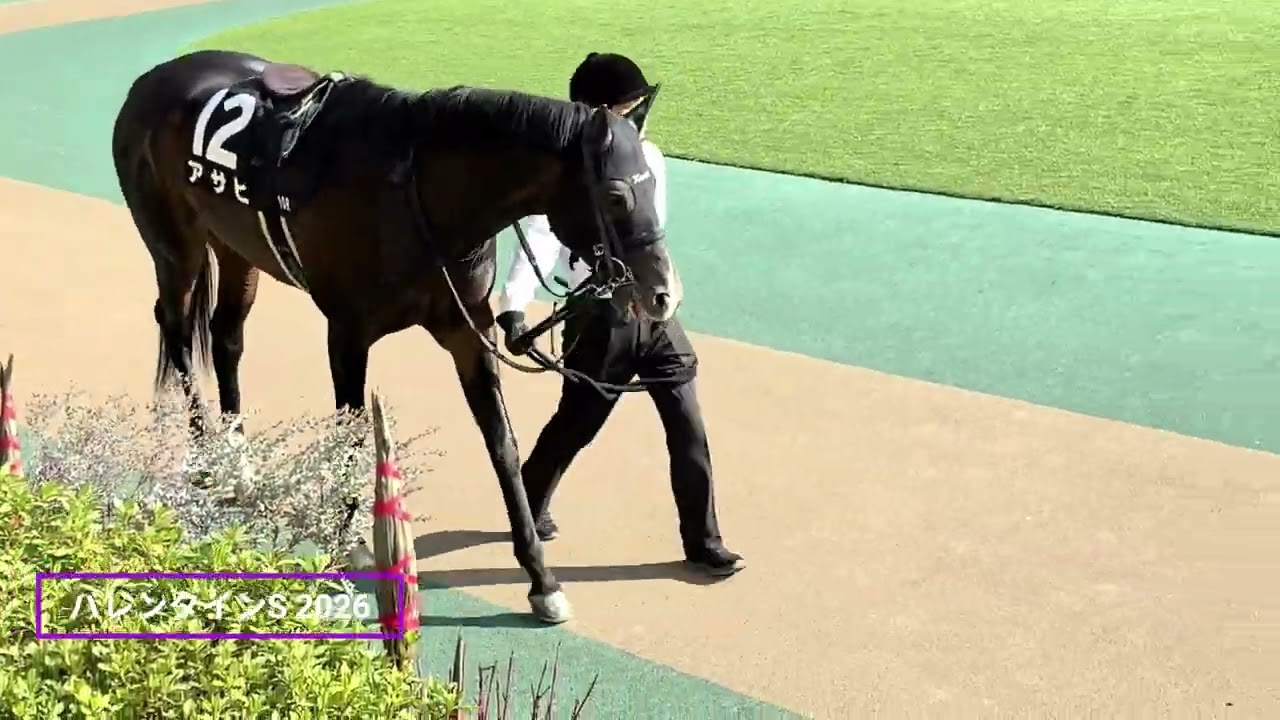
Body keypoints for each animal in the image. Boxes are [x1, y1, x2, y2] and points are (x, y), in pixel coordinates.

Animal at [110, 49, 681, 623]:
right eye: (615, 195)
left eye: (654, 184)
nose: (663, 294)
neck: (415, 192)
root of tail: (151, 79)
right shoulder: (346, 331)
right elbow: (352, 430)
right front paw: (347, 539)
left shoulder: (466, 329)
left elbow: (501, 442)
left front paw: (541, 577)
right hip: (175, 244)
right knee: (179, 334)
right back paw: (207, 462)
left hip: (235, 246)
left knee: (226, 337)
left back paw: (240, 466)